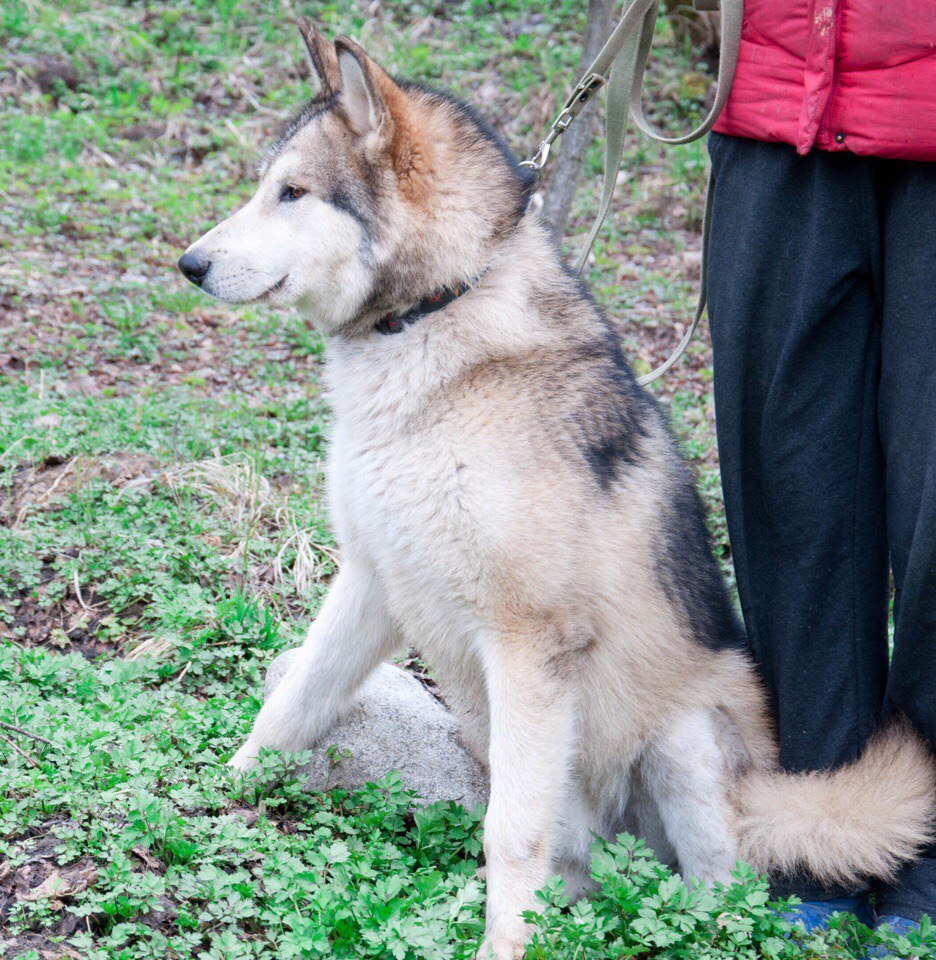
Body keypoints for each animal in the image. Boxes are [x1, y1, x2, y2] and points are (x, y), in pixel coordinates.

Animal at [177, 20, 936, 952]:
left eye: (292, 193)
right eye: (265, 189)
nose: (189, 264)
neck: (437, 315)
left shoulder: (527, 643)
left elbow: (510, 829)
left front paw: (502, 948)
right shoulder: (373, 582)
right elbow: (290, 707)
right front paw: (218, 792)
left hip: (681, 744)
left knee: (717, 885)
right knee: (574, 864)